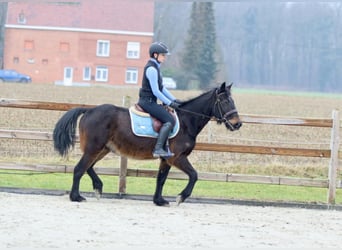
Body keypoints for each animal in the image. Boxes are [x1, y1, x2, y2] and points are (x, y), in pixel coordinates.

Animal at [52, 81, 240, 205]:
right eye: (225, 101)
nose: (237, 124)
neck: (187, 121)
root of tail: (89, 110)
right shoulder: (177, 157)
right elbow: (194, 175)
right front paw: (181, 197)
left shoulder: (166, 159)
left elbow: (161, 179)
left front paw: (159, 200)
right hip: (94, 148)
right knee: (79, 168)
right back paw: (76, 197)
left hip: (103, 149)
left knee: (88, 167)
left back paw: (98, 187)